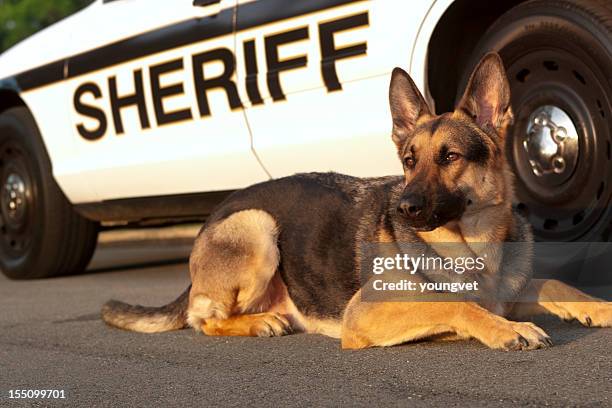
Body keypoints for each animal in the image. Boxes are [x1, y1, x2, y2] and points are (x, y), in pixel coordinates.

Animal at [104, 53, 612, 350]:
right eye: (409, 160)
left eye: (450, 157)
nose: (404, 207)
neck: (474, 247)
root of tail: (213, 218)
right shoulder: (367, 312)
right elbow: (454, 305)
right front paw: (507, 329)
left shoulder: (512, 285)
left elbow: (554, 283)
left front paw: (599, 307)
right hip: (256, 226)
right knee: (202, 319)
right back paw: (258, 323)